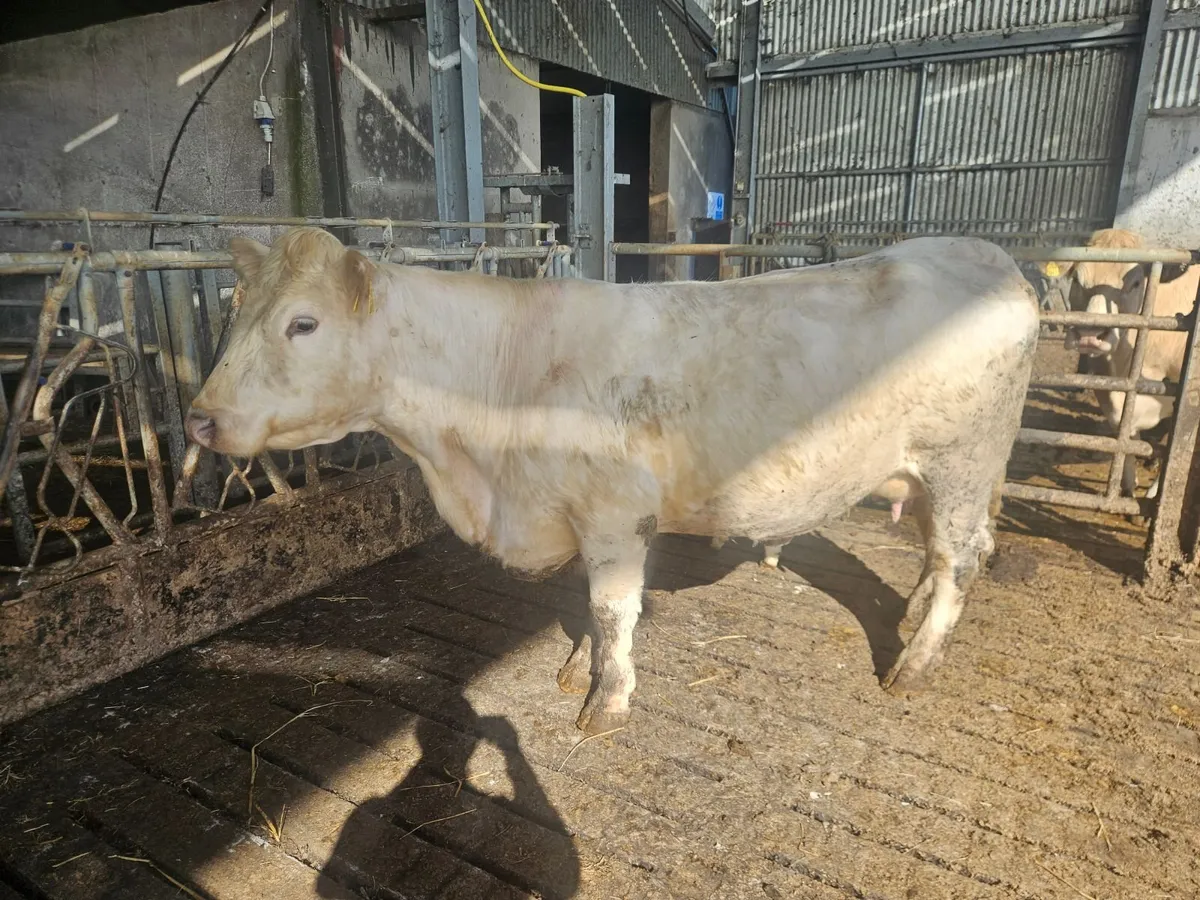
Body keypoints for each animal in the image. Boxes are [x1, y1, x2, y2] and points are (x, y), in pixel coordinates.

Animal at [185, 227, 1039, 735]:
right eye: (234, 309)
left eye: (303, 323)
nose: (199, 418)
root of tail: (989, 256)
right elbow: (584, 609)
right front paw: (578, 669)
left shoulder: (613, 515)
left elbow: (609, 608)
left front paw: (609, 694)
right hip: (942, 472)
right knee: (943, 551)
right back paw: (917, 614)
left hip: (961, 459)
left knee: (960, 557)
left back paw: (914, 664)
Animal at [1041, 228, 1199, 501]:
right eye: (1077, 279)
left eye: (1135, 283)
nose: (1089, 335)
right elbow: (1127, 439)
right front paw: (1126, 488)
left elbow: (1179, 447)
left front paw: (1153, 494)